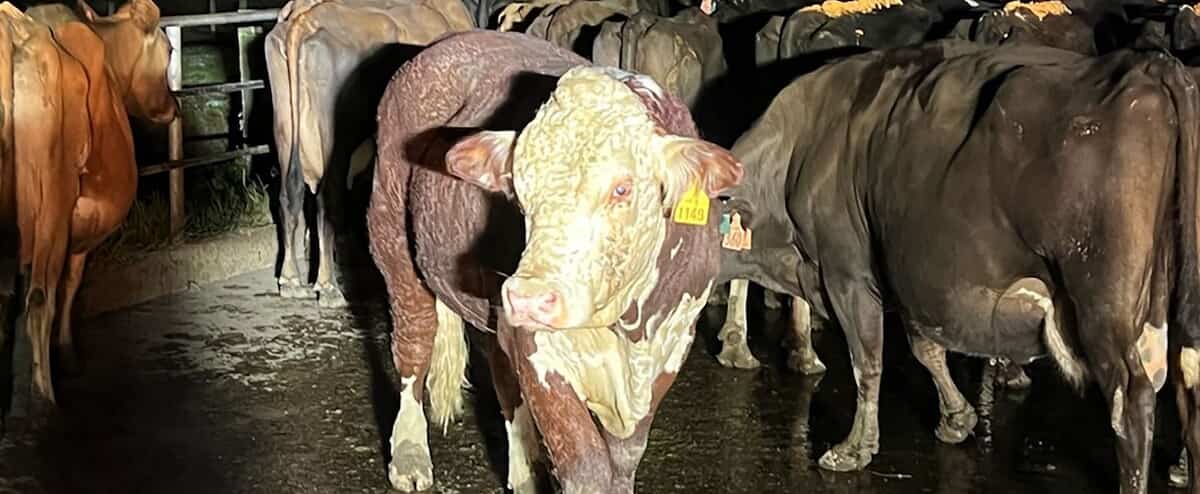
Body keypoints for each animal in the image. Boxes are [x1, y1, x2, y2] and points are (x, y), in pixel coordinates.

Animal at [0, 0, 176, 415]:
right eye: (169, 50)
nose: (174, 106)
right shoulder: (79, 226)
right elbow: (71, 282)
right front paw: (66, 351)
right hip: (53, 200)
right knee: (39, 299)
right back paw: (46, 401)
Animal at [264, 0, 472, 308]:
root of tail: (305, 19)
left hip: (286, 130)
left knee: (290, 197)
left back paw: (291, 280)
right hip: (334, 140)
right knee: (328, 202)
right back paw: (328, 286)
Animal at [368, 30, 741, 493]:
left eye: (622, 189)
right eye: (517, 187)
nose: (529, 298)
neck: (624, 323)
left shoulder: (669, 346)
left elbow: (625, 458)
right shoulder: (539, 350)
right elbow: (585, 464)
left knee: (502, 376)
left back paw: (523, 471)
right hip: (392, 238)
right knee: (414, 341)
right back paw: (410, 455)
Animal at [718, 40, 1198, 493]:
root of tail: (1148, 64)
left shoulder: (847, 272)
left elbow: (866, 359)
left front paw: (853, 449)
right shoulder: (907, 275)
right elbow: (925, 349)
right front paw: (957, 419)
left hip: (1102, 302)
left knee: (1131, 401)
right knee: (1187, 387)